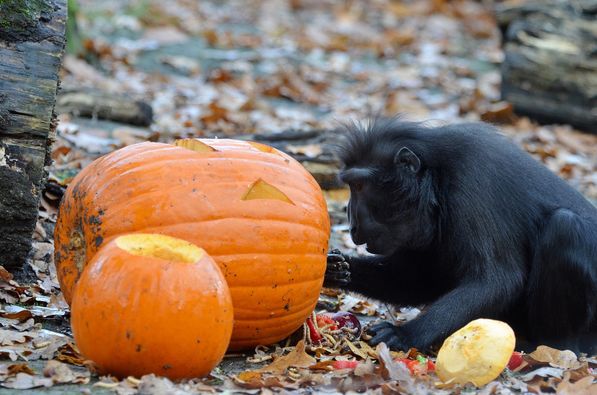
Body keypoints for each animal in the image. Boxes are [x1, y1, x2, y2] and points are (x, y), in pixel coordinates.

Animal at [326, 118, 596, 356]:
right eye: (351, 185)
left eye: (359, 186)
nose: (351, 222)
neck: (436, 179)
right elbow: (413, 282)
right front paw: (336, 269)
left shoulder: (471, 184)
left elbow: (497, 280)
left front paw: (405, 335)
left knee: (565, 227)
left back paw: (551, 348)